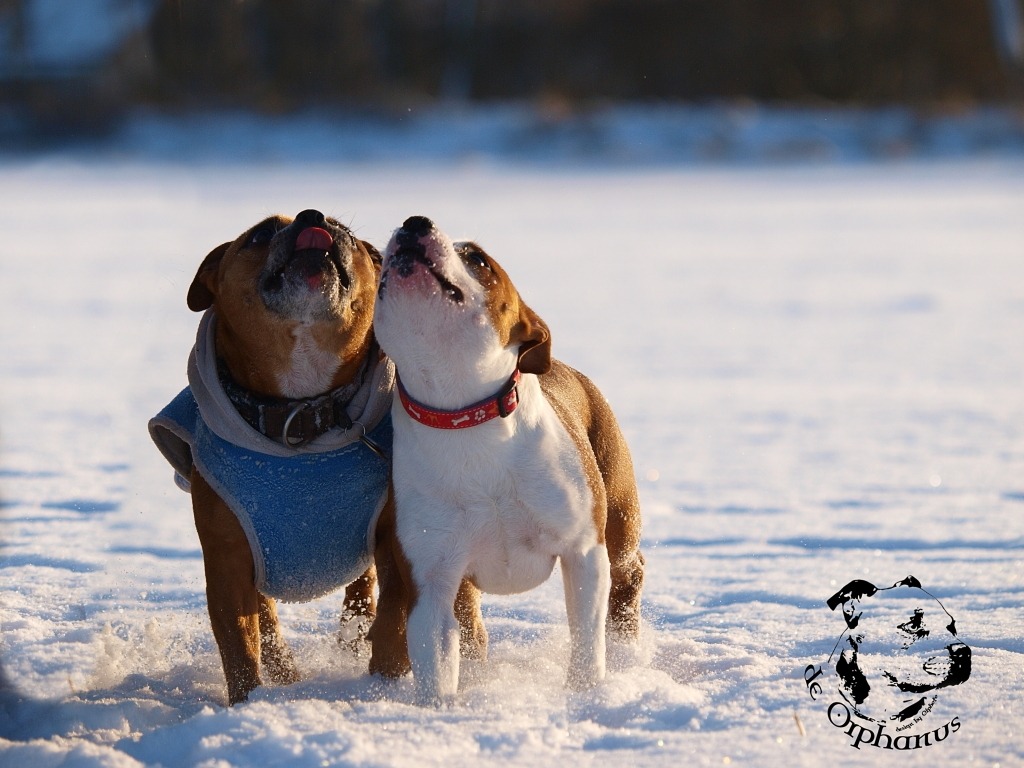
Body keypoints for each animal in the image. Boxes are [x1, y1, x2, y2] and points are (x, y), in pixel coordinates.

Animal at [149, 208, 397, 704]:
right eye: (261, 233)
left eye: (349, 232)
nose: (313, 217)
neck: (301, 413)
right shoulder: (228, 560)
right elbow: (240, 643)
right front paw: (246, 705)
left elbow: (393, 615)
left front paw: (382, 688)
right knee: (268, 623)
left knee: (363, 590)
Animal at [368, 215, 638, 704]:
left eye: (477, 258)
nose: (415, 221)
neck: (463, 415)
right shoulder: (431, 583)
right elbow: (436, 662)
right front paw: (439, 709)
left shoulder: (583, 550)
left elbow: (587, 642)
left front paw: (585, 694)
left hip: (619, 521)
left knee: (630, 577)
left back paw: (628, 651)